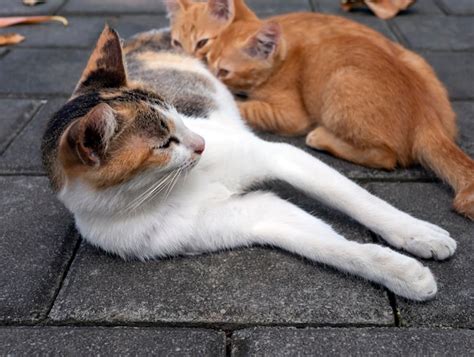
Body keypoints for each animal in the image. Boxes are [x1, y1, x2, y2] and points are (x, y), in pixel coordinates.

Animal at [42, 25, 458, 300]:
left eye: (176, 113)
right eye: (163, 143)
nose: (201, 144)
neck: (175, 186)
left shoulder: (281, 155)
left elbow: (361, 201)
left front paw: (418, 233)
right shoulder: (254, 217)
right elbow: (331, 247)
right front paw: (400, 272)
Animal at [166, 0, 474, 220]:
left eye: (204, 45)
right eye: (177, 42)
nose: (194, 63)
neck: (284, 60)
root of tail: (426, 118)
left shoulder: (290, 114)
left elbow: (243, 106)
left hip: (341, 83)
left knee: (387, 157)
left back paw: (321, 137)